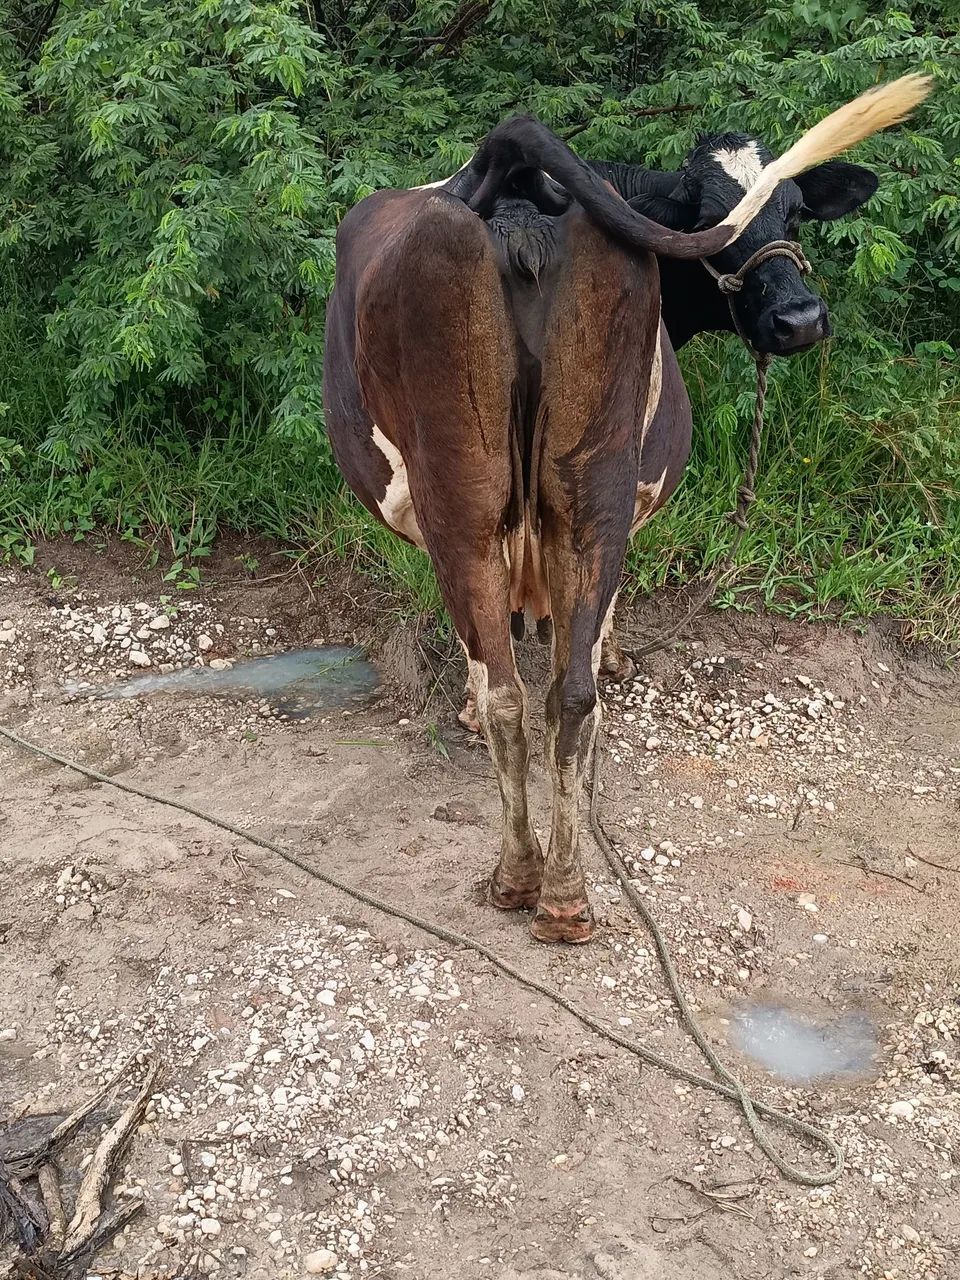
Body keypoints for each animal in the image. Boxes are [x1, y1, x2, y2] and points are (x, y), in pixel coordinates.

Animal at [322, 76, 928, 944]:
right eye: (702, 219)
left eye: (797, 213)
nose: (800, 320)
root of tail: (516, 187)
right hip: (576, 489)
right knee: (553, 695)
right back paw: (553, 889)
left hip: (494, 496)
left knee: (525, 695)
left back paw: (537, 884)